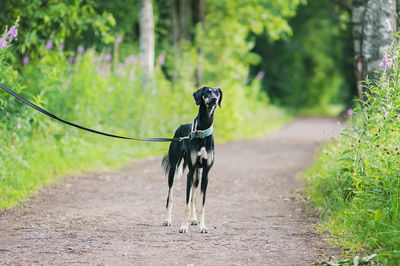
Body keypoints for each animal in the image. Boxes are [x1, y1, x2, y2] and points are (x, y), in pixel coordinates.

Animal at [162, 85, 222, 233]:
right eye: (207, 91)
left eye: (217, 92)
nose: (214, 99)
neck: (202, 131)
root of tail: (180, 126)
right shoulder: (190, 172)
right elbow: (186, 204)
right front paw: (184, 226)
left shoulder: (205, 174)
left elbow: (200, 203)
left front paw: (203, 226)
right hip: (173, 170)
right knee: (170, 196)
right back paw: (167, 219)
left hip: (197, 175)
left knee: (193, 197)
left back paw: (194, 220)